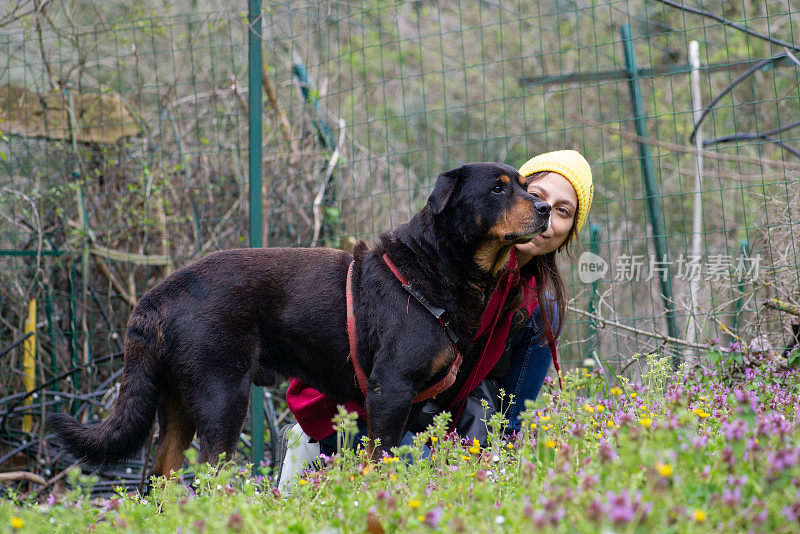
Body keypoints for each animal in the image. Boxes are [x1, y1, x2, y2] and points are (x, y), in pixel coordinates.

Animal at [50, 162, 552, 478]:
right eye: (498, 188)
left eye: (526, 185)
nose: (545, 208)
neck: (432, 266)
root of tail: (160, 294)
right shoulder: (390, 389)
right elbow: (381, 462)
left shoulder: (422, 403)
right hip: (222, 397)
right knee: (206, 473)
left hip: (177, 402)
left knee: (162, 478)